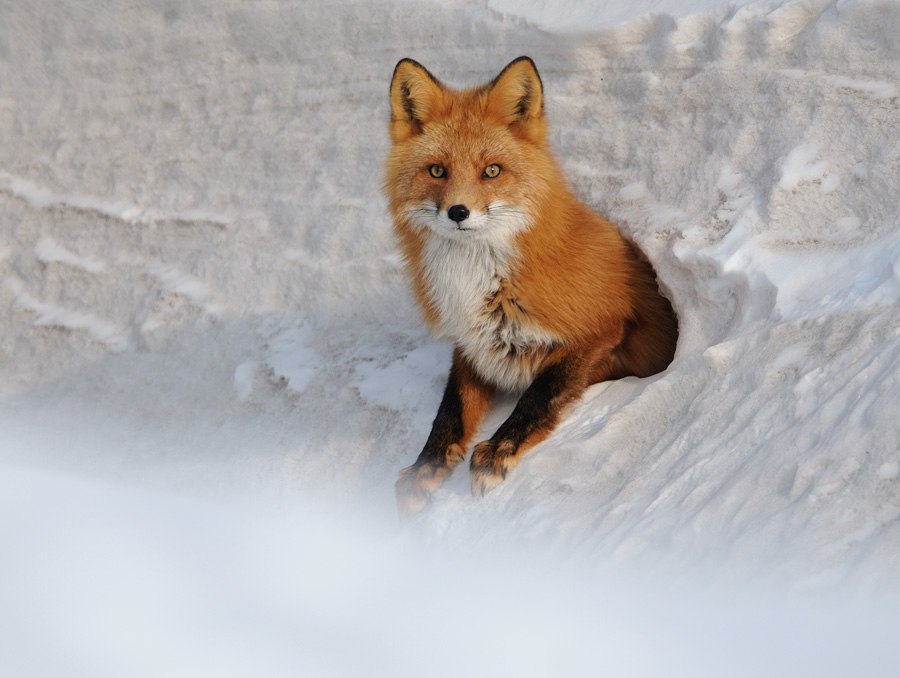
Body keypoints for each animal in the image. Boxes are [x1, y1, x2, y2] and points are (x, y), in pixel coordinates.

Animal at [384, 58, 676, 516]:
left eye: (491, 170)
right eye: (436, 170)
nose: (458, 212)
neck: (480, 282)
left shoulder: (600, 332)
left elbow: (540, 396)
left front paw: (498, 451)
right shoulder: (473, 346)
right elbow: (450, 412)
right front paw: (424, 468)